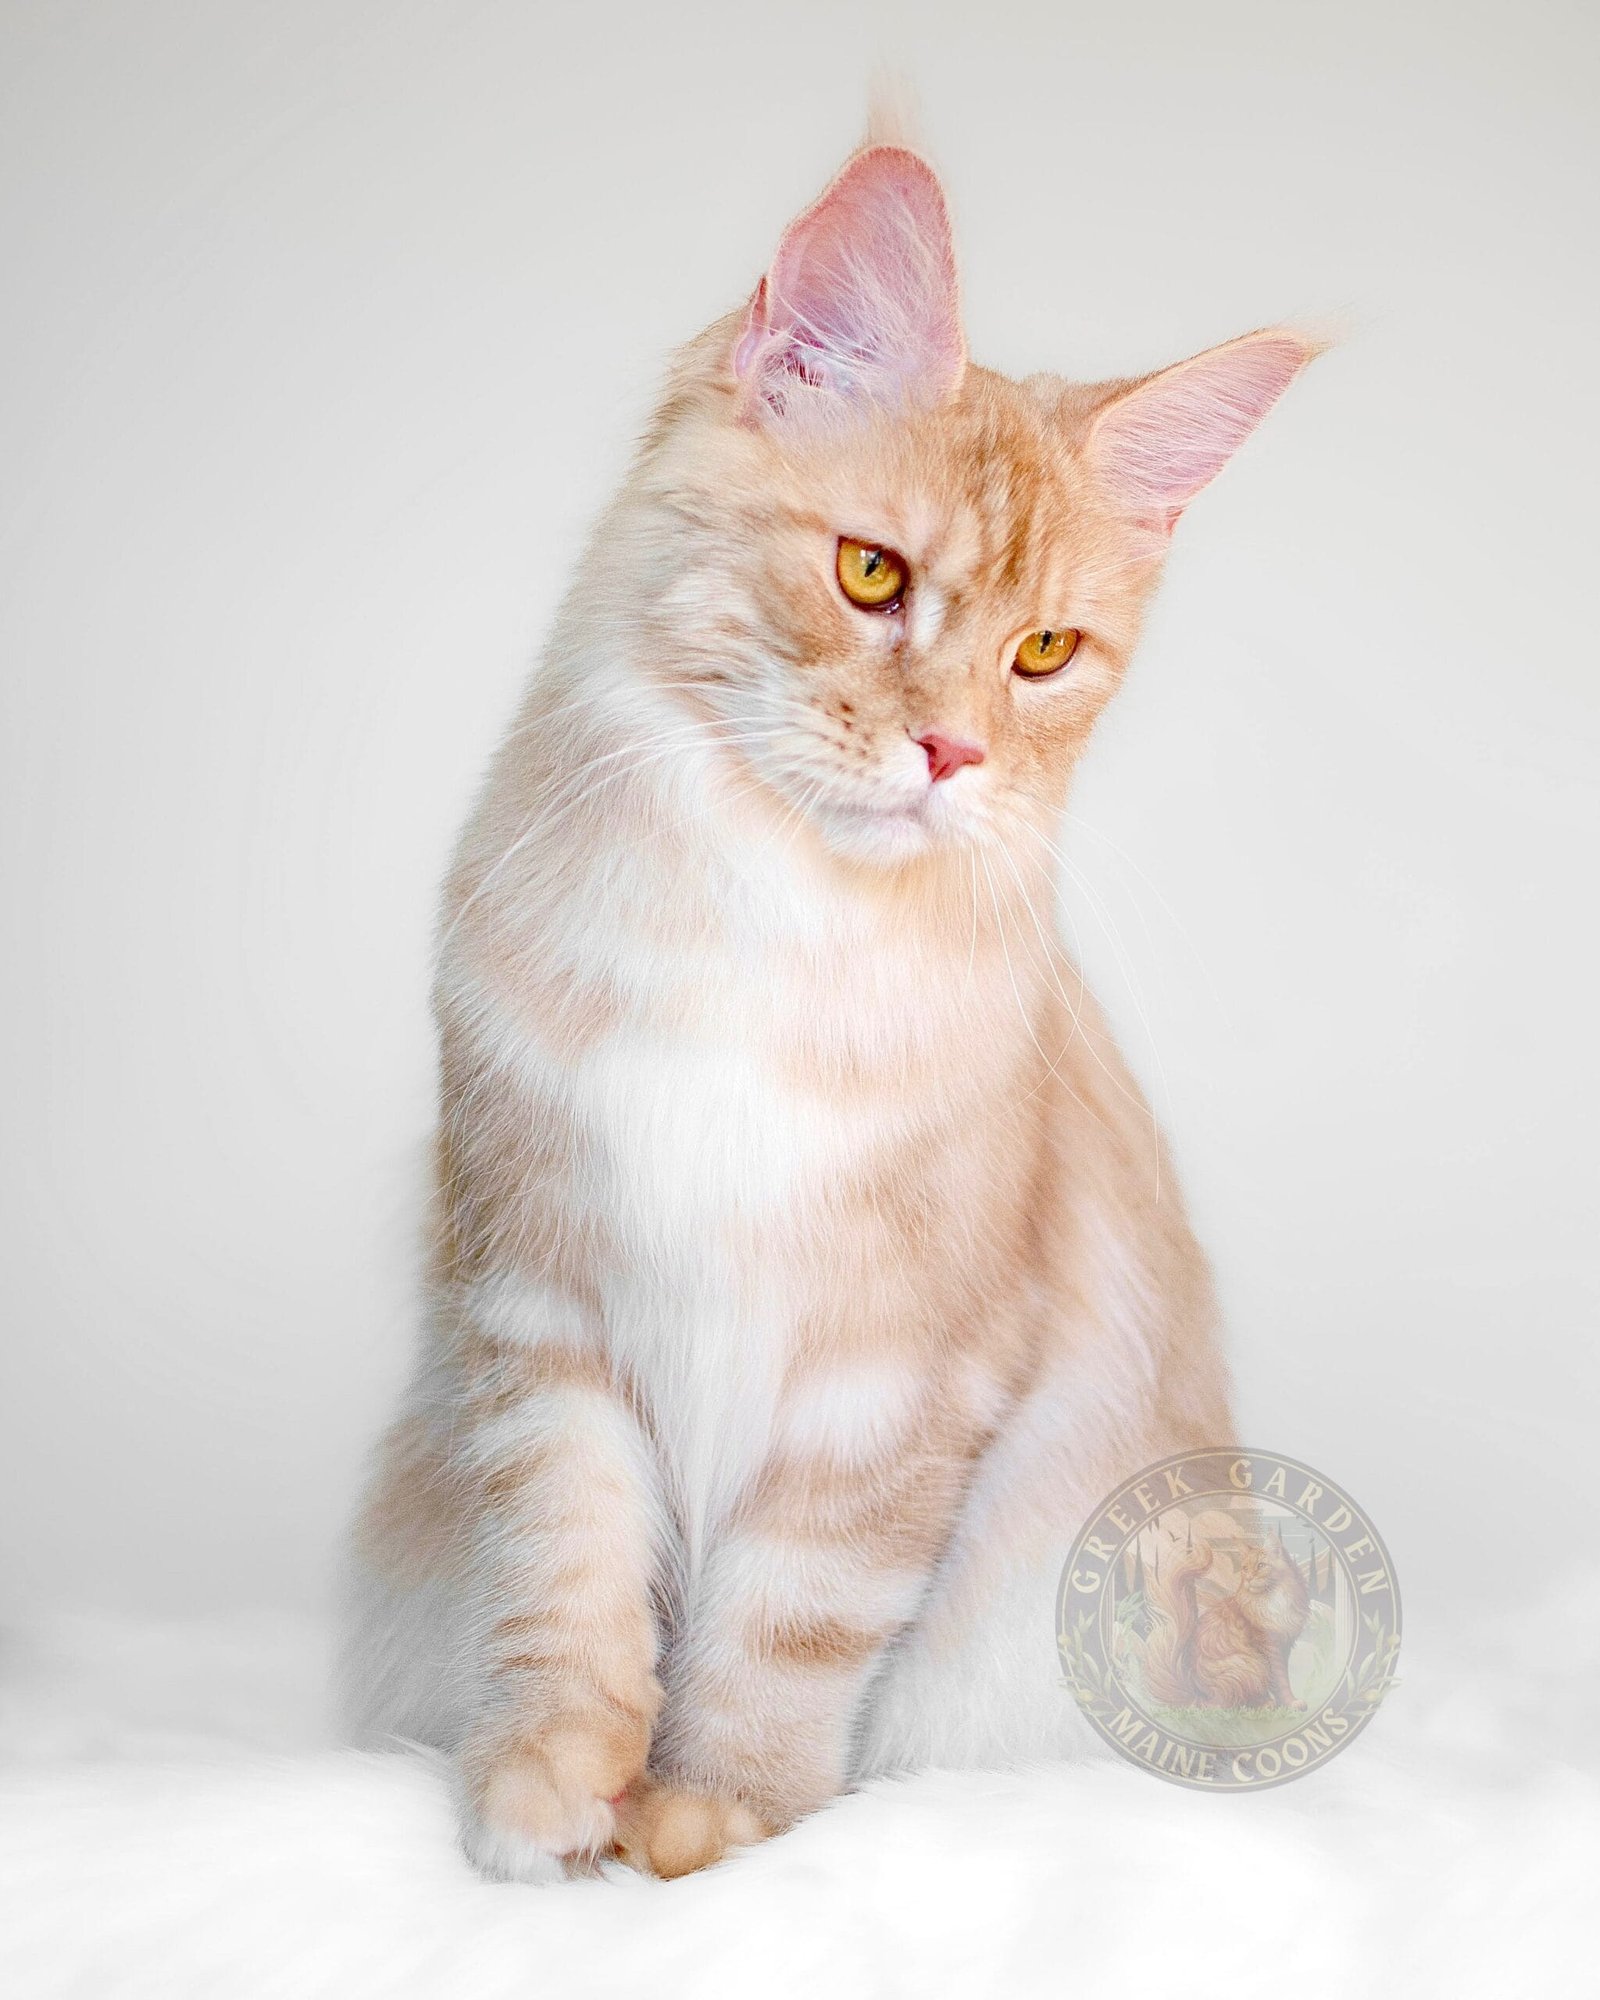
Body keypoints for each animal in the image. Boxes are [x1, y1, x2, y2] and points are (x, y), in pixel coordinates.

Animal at [338, 133, 1312, 1880]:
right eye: (871, 575)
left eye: (1041, 653)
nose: (953, 754)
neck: (769, 926)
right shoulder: (540, 1302)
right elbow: (565, 1577)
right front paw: (548, 1797)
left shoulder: (904, 1377)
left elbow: (786, 1624)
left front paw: (705, 1827)